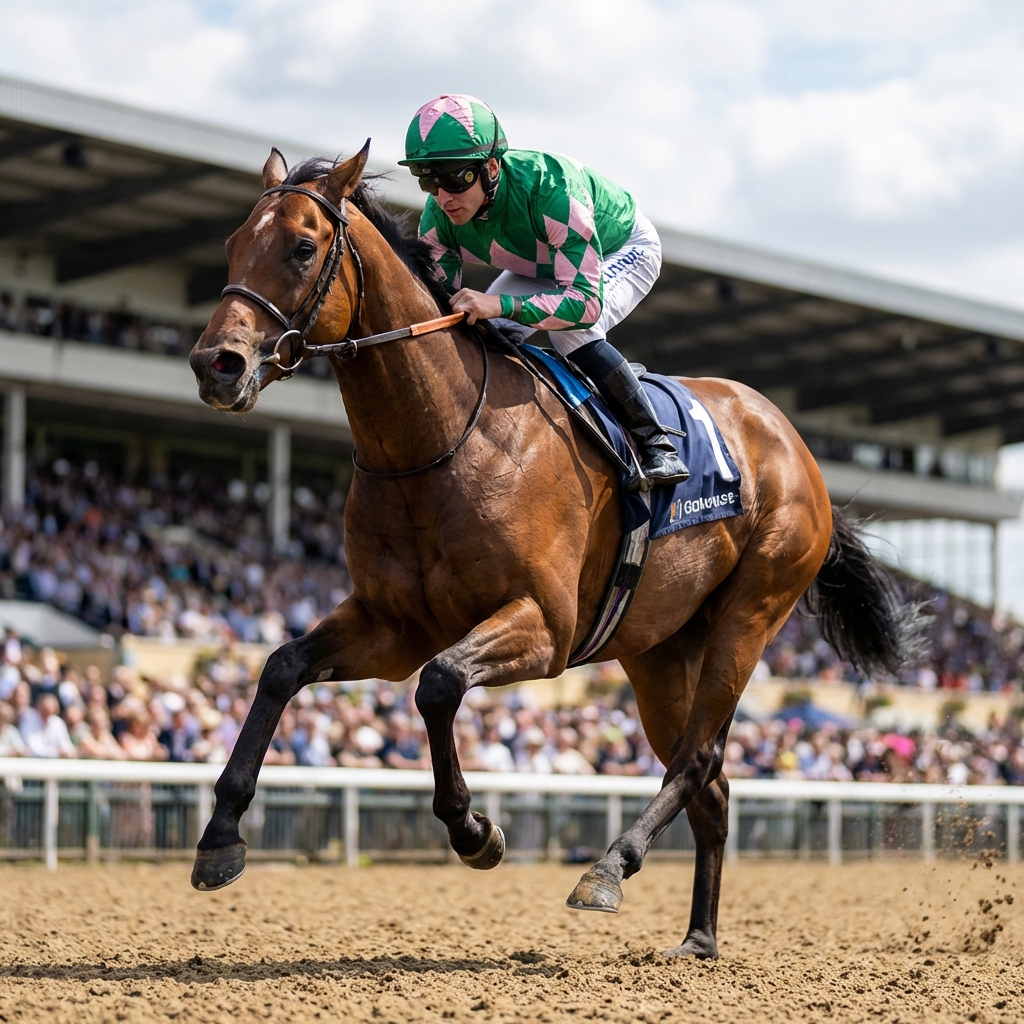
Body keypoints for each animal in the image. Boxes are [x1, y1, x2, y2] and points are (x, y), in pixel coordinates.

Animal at [187, 143, 921, 957]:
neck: (439, 441)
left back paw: (609, 867)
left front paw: (474, 831)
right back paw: (698, 939)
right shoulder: (392, 626)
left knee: (699, 758)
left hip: (752, 611)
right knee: (713, 785)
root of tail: (793, 443)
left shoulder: (545, 625)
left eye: (302, 247)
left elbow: (439, 685)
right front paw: (220, 838)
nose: (216, 364)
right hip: (660, 649)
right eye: (233, 244)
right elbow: (283, 668)